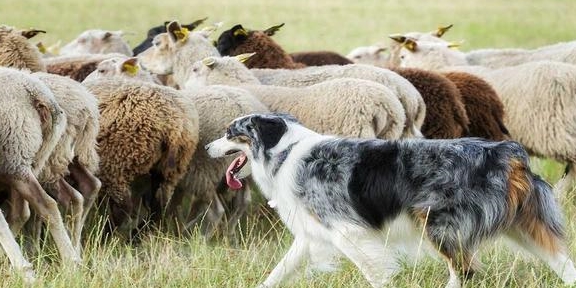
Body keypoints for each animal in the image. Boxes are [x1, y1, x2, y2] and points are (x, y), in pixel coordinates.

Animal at [82, 77, 200, 231]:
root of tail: (175, 125)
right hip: (171, 170)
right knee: (159, 207)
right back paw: (139, 233)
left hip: (116, 162)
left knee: (123, 207)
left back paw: (107, 233)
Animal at [207, 112, 576, 288]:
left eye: (229, 132)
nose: (206, 147)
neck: (284, 151)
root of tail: (506, 152)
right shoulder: (312, 234)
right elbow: (278, 273)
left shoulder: (347, 232)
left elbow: (375, 273)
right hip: (524, 226)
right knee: (563, 262)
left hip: (439, 225)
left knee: (465, 272)